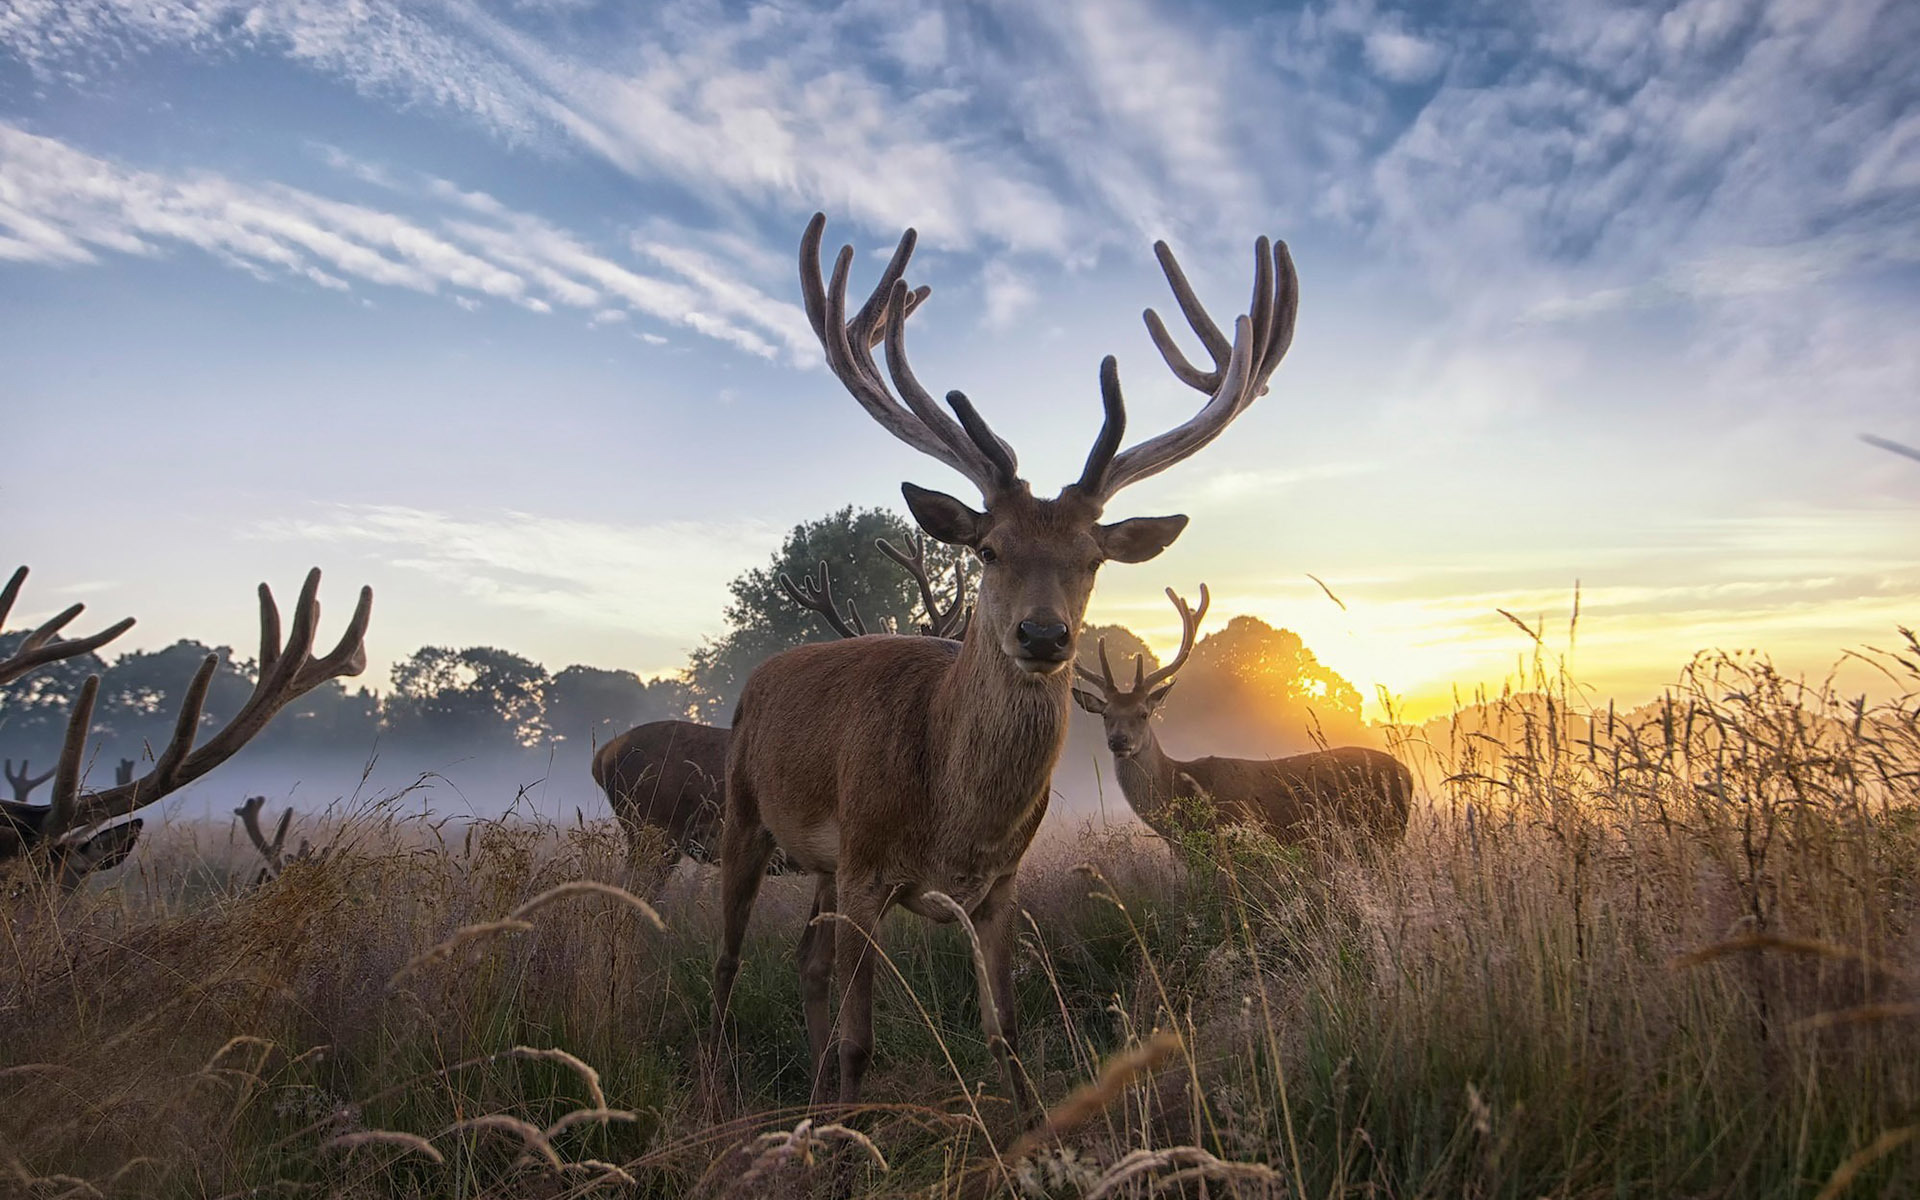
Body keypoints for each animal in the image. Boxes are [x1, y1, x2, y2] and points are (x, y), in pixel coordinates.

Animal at [718, 213, 1305, 1113]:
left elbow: (1009, 1034)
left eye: (1093, 559)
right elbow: (861, 1042)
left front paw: (1024, 1125)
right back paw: (729, 1084)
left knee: (805, 962)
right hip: (742, 813)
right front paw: (850, 1130)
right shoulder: (866, 868)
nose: (1043, 636)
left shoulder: (998, 888)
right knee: (728, 964)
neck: (954, 817)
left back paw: (812, 1100)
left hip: (819, 864)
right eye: (988, 548)